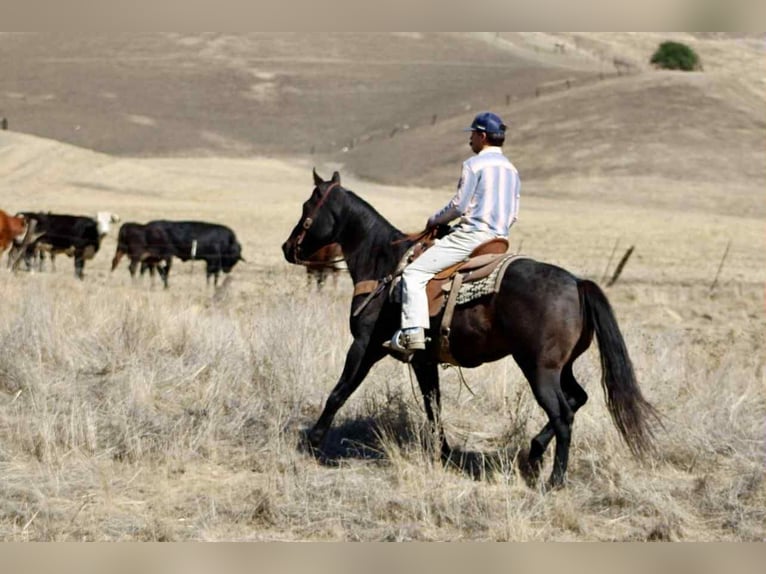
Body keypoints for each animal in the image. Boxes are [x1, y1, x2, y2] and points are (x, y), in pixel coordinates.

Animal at [282, 169, 660, 488]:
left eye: (306, 206)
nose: (287, 248)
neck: (383, 265)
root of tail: (577, 283)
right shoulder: (424, 360)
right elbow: (433, 407)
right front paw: (444, 453)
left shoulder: (365, 346)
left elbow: (340, 391)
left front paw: (314, 440)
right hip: (560, 367)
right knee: (577, 398)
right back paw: (534, 451)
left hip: (538, 368)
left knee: (563, 414)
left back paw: (554, 479)